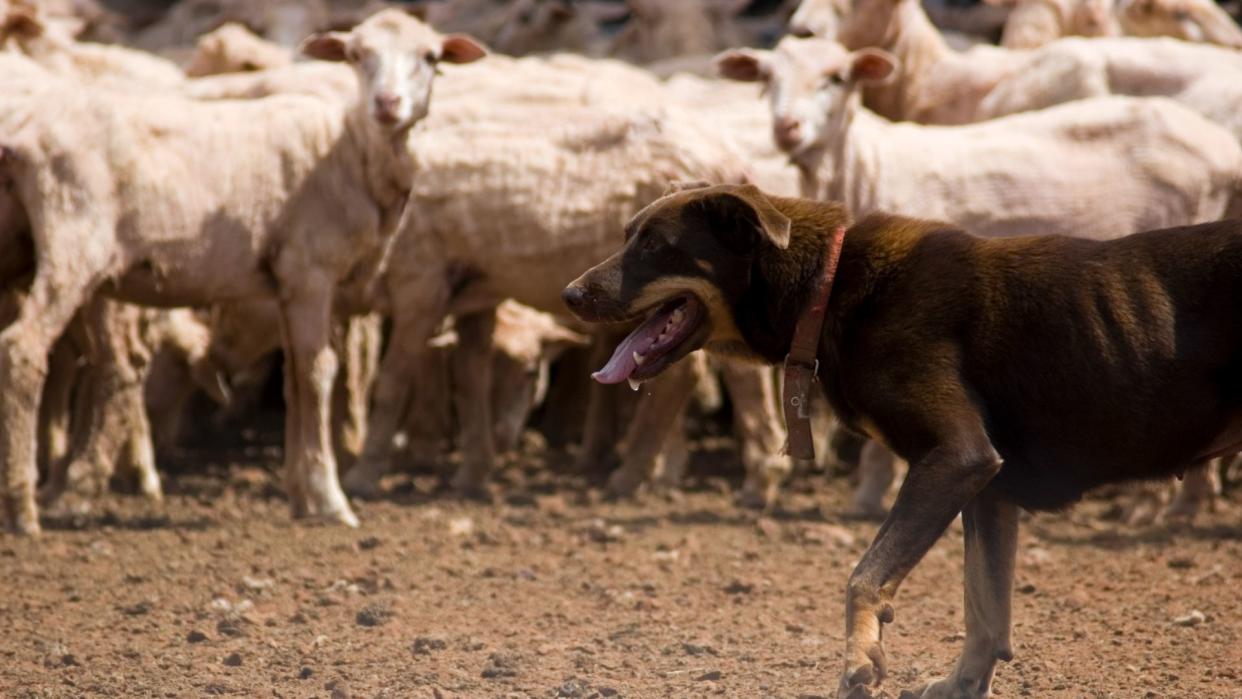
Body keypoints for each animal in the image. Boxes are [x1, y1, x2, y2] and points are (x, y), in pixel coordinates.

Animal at [561, 183, 1242, 695]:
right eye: (628, 235)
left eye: (656, 246)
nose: (568, 294)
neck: (828, 285)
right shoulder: (988, 487)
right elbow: (984, 613)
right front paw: (957, 686)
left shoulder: (957, 457)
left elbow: (864, 577)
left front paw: (860, 665)